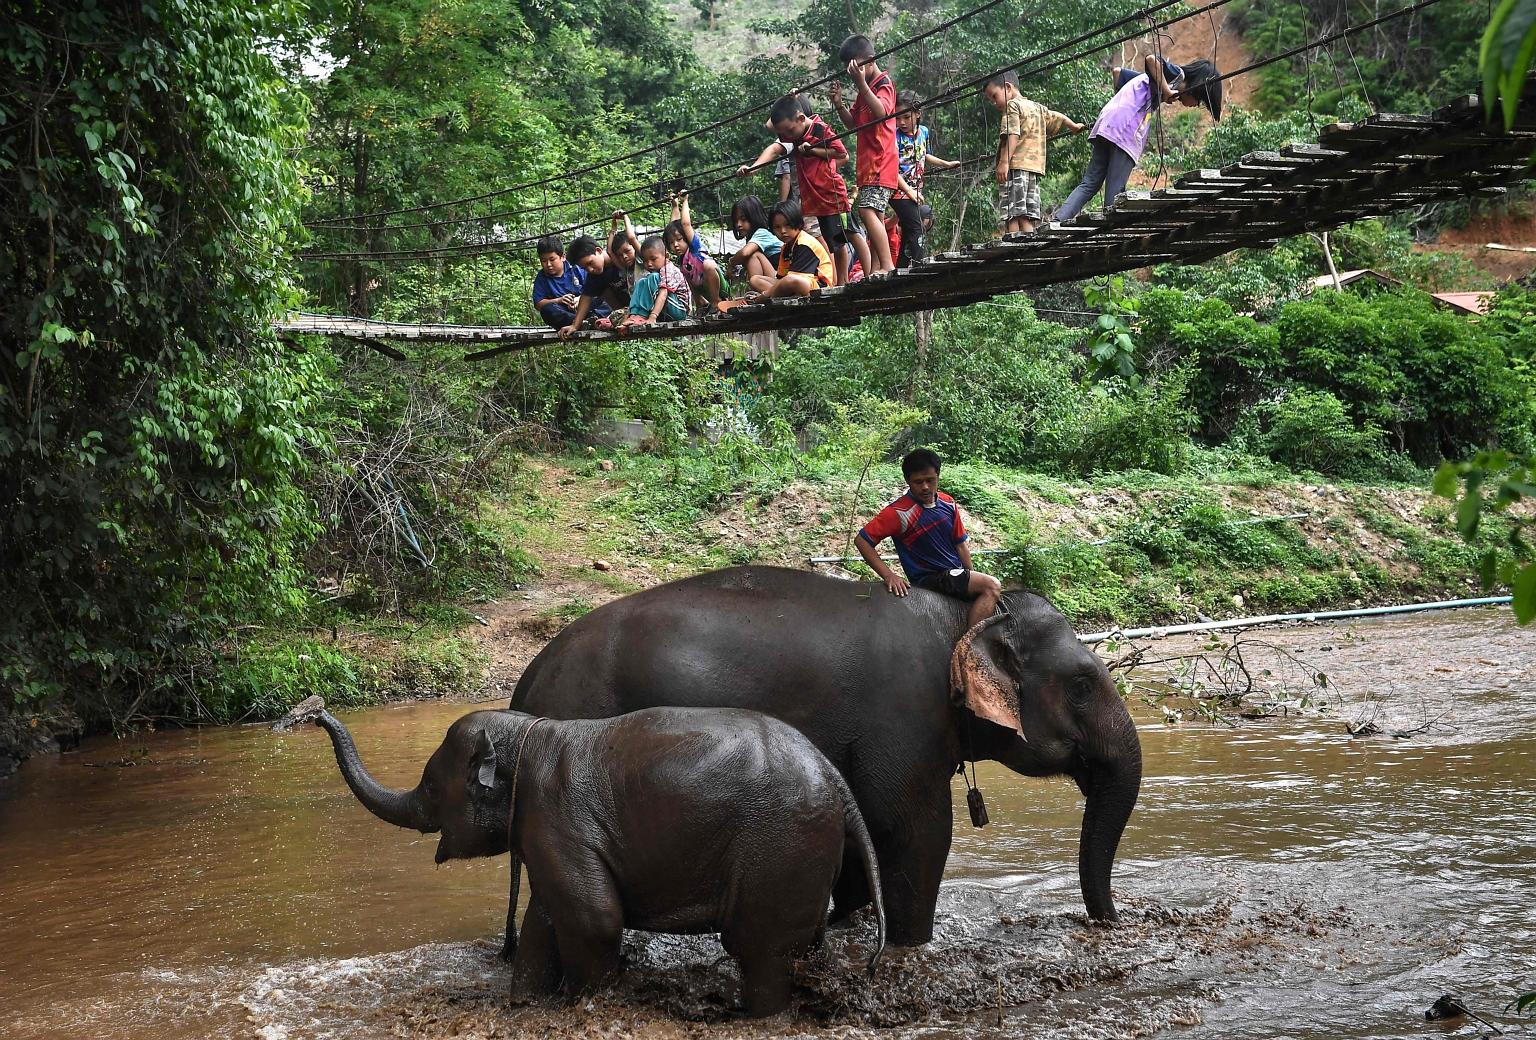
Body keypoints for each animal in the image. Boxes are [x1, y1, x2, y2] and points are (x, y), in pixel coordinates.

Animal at [307, 701, 886, 1015]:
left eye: (430, 787)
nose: (312, 713)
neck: (527, 732)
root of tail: (838, 782)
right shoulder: (544, 833)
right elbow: (544, 923)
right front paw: (523, 1006)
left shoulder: (555, 818)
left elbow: (594, 920)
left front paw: (581, 1007)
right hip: (802, 855)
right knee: (804, 946)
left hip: (780, 846)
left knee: (760, 950)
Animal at [507, 565, 1142, 950]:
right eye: (1083, 684)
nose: (1114, 920)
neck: (960, 619)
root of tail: (527, 680)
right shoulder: (903, 715)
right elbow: (913, 829)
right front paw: (910, 945)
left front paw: (842, 928)